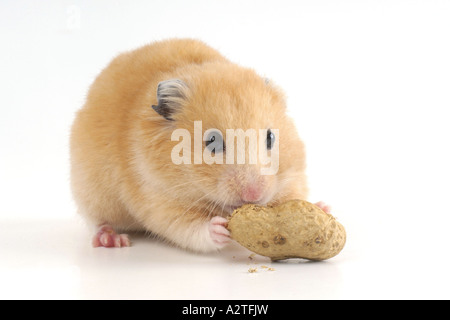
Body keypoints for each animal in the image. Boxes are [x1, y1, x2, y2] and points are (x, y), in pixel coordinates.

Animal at [69, 38, 316, 252]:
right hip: (90, 190)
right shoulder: (157, 197)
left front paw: (321, 207)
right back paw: (112, 239)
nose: (254, 195)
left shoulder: (292, 176)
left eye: (270, 138)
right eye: (212, 142)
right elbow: (188, 227)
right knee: (97, 221)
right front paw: (220, 229)